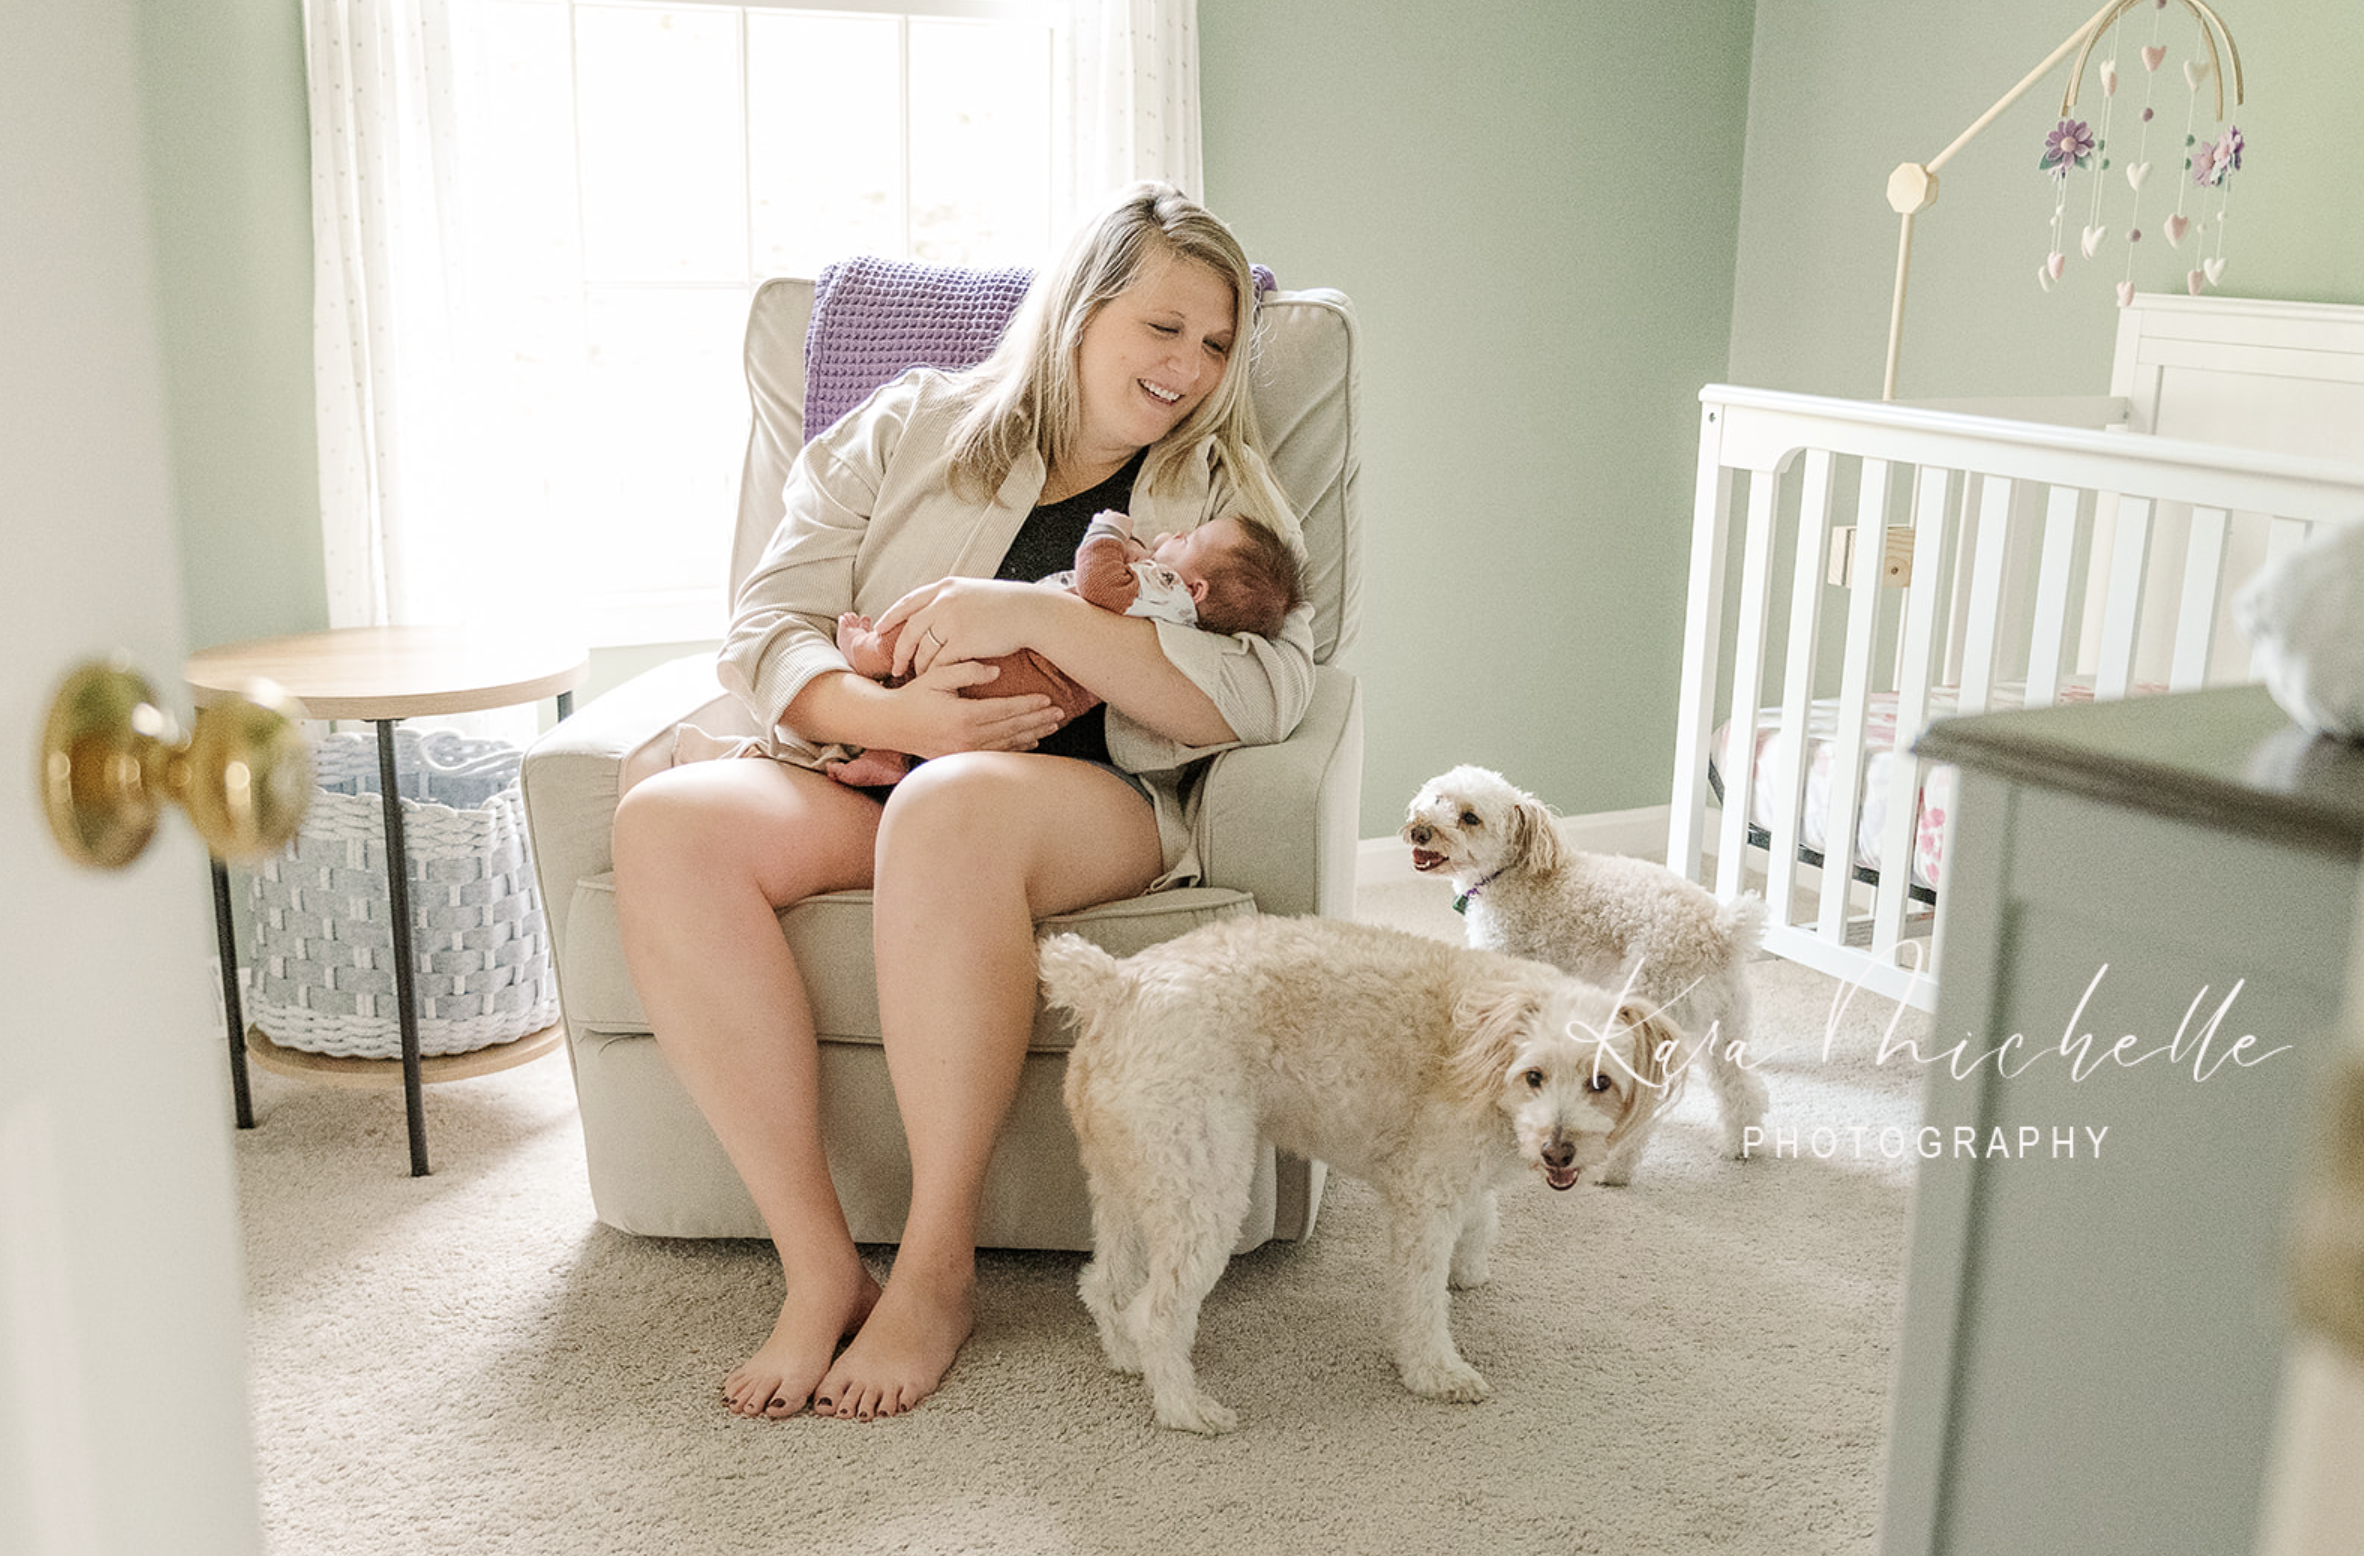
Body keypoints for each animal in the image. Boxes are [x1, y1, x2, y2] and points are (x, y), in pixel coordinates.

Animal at [1040, 908, 1683, 1428]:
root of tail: (1116, 984)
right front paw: (1435, 1371)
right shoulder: (1426, 1194)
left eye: (1601, 1082)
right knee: (1156, 1313)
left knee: (1104, 1285)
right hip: (1203, 1194)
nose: (1558, 1150)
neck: (1486, 1050)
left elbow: (1483, 1218)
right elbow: (1422, 1300)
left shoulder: (1458, 1175)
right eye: (1535, 1076)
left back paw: (1128, 1360)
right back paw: (1183, 1409)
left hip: (1130, 1187)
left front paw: (1468, 1269)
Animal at [1390, 756, 1768, 1182]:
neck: (1510, 874)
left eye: (1471, 818)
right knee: (1740, 1087)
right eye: (1438, 798)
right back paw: (1738, 1146)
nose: (1419, 829)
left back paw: (1613, 1171)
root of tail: (1721, 930)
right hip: (1724, 1025)